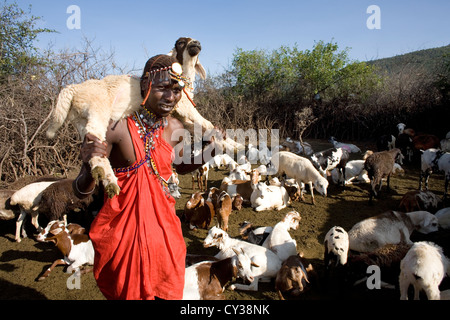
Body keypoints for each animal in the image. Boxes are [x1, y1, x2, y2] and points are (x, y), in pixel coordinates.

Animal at [44, 37, 243, 198]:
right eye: (180, 42)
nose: (196, 44)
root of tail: (72, 90)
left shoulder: (180, 114)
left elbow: (202, 128)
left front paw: (230, 145)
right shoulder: (184, 107)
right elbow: (207, 123)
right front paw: (239, 146)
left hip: (79, 120)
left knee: (91, 142)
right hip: (97, 109)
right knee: (96, 141)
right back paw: (110, 181)